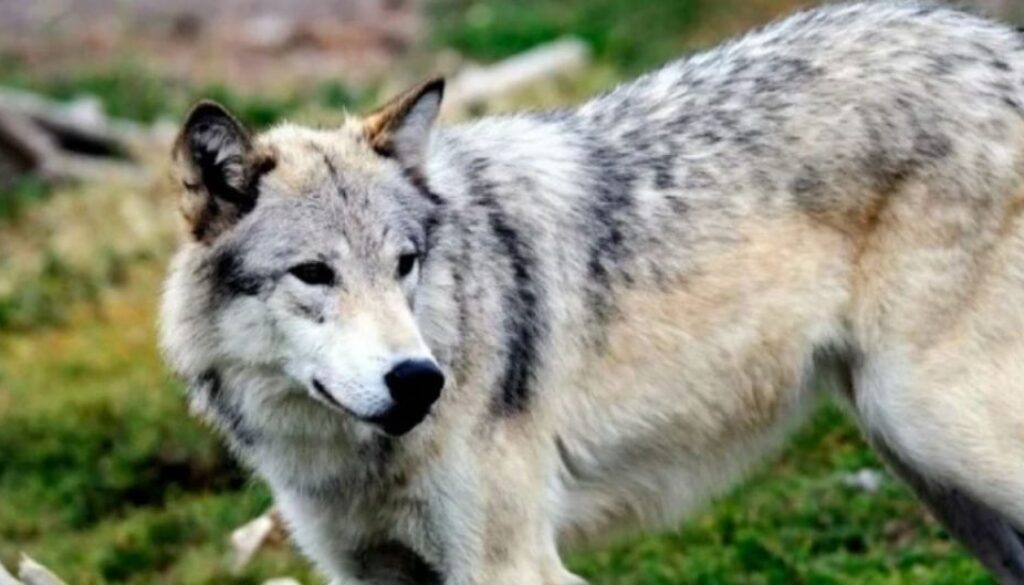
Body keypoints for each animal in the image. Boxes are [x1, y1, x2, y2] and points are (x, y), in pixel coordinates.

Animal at [160, 2, 1024, 583]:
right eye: (314, 273)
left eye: (405, 262)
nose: (419, 380)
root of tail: (996, 40)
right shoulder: (369, 568)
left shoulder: (508, 565)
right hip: (931, 465)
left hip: (933, 429)